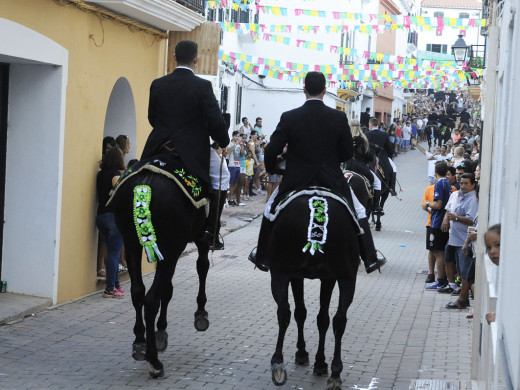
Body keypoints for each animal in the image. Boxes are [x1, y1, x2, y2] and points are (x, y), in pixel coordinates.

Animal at [111, 170, 211, 378]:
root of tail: (145, 185)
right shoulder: (192, 243)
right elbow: (202, 267)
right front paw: (200, 313)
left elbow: (166, 288)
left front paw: (160, 331)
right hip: (170, 247)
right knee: (150, 300)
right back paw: (154, 362)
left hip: (132, 245)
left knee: (138, 292)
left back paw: (139, 342)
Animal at [266, 187, 360, 388]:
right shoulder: (325, 277)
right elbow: (315, 317)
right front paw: (317, 360)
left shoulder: (302, 276)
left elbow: (306, 314)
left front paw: (311, 357)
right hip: (346, 277)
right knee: (339, 320)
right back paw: (335, 372)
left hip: (280, 273)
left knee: (284, 312)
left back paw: (278, 363)